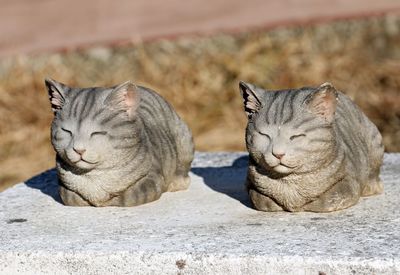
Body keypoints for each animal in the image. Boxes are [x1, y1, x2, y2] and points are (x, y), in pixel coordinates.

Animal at [45, 78, 194, 207]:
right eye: (67, 131)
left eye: (97, 133)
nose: (79, 150)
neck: (94, 175)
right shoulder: (63, 185)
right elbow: (70, 197)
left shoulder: (153, 177)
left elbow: (129, 197)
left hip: (183, 140)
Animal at [239, 82, 382, 213]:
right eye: (264, 135)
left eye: (296, 136)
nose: (278, 154)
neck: (289, 180)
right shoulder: (250, 183)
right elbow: (259, 199)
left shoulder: (349, 181)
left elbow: (329, 199)